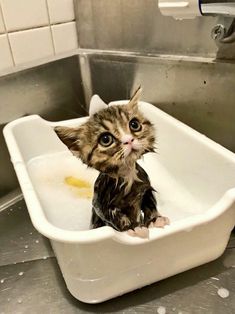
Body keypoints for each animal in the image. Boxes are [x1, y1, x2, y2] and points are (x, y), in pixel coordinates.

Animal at [55, 87, 169, 237]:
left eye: (134, 125)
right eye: (105, 139)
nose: (129, 140)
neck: (128, 175)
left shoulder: (145, 185)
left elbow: (150, 200)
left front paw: (155, 219)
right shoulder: (100, 202)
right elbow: (113, 215)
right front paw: (132, 227)